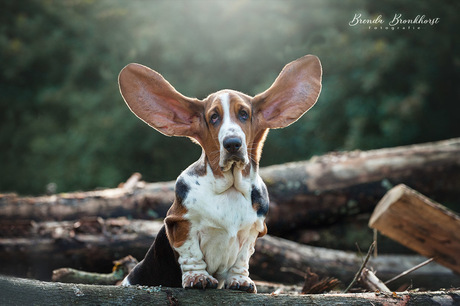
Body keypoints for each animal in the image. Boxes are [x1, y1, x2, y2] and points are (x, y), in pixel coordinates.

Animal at [117, 54, 322, 292]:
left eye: (244, 114)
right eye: (213, 117)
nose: (232, 143)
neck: (229, 187)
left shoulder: (252, 232)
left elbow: (242, 260)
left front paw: (240, 281)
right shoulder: (181, 225)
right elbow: (191, 254)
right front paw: (198, 278)